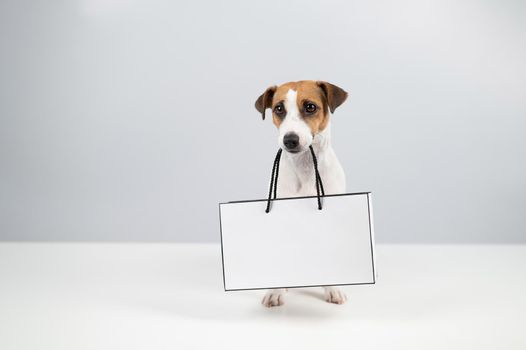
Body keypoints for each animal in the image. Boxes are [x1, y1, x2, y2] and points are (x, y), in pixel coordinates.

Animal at [256, 80, 350, 308]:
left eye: (310, 107)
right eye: (279, 108)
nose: (290, 139)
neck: (305, 166)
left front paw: (333, 288)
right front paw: (275, 290)